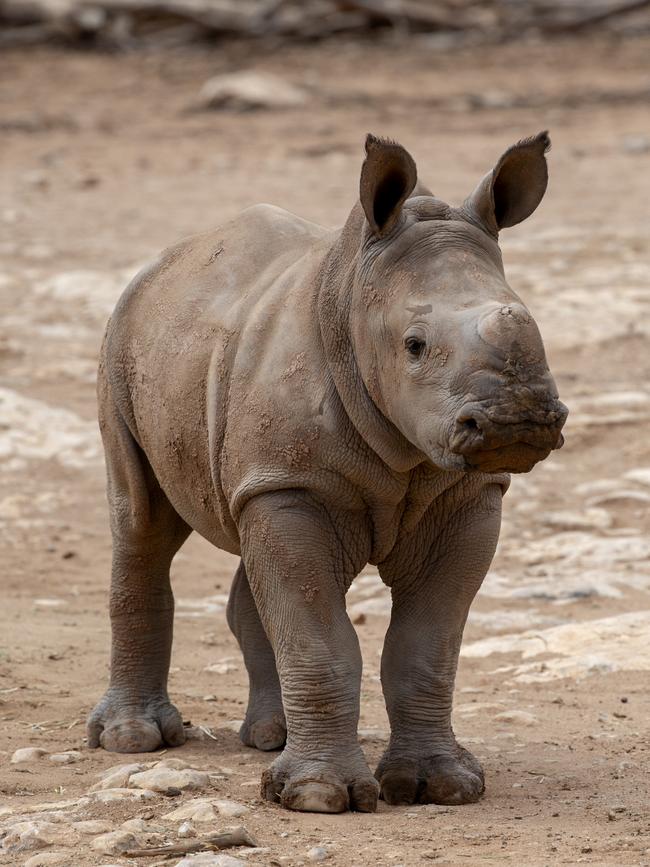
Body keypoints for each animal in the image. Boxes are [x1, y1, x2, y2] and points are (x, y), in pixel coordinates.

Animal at [88, 131, 564, 812]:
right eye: (415, 345)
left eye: (531, 321)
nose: (516, 422)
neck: (353, 300)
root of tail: (163, 263)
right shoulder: (292, 484)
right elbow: (319, 638)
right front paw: (318, 796)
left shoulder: (465, 495)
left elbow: (425, 647)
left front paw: (441, 786)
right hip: (121, 343)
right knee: (142, 523)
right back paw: (133, 739)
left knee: (248, 552)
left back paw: (272, 737)